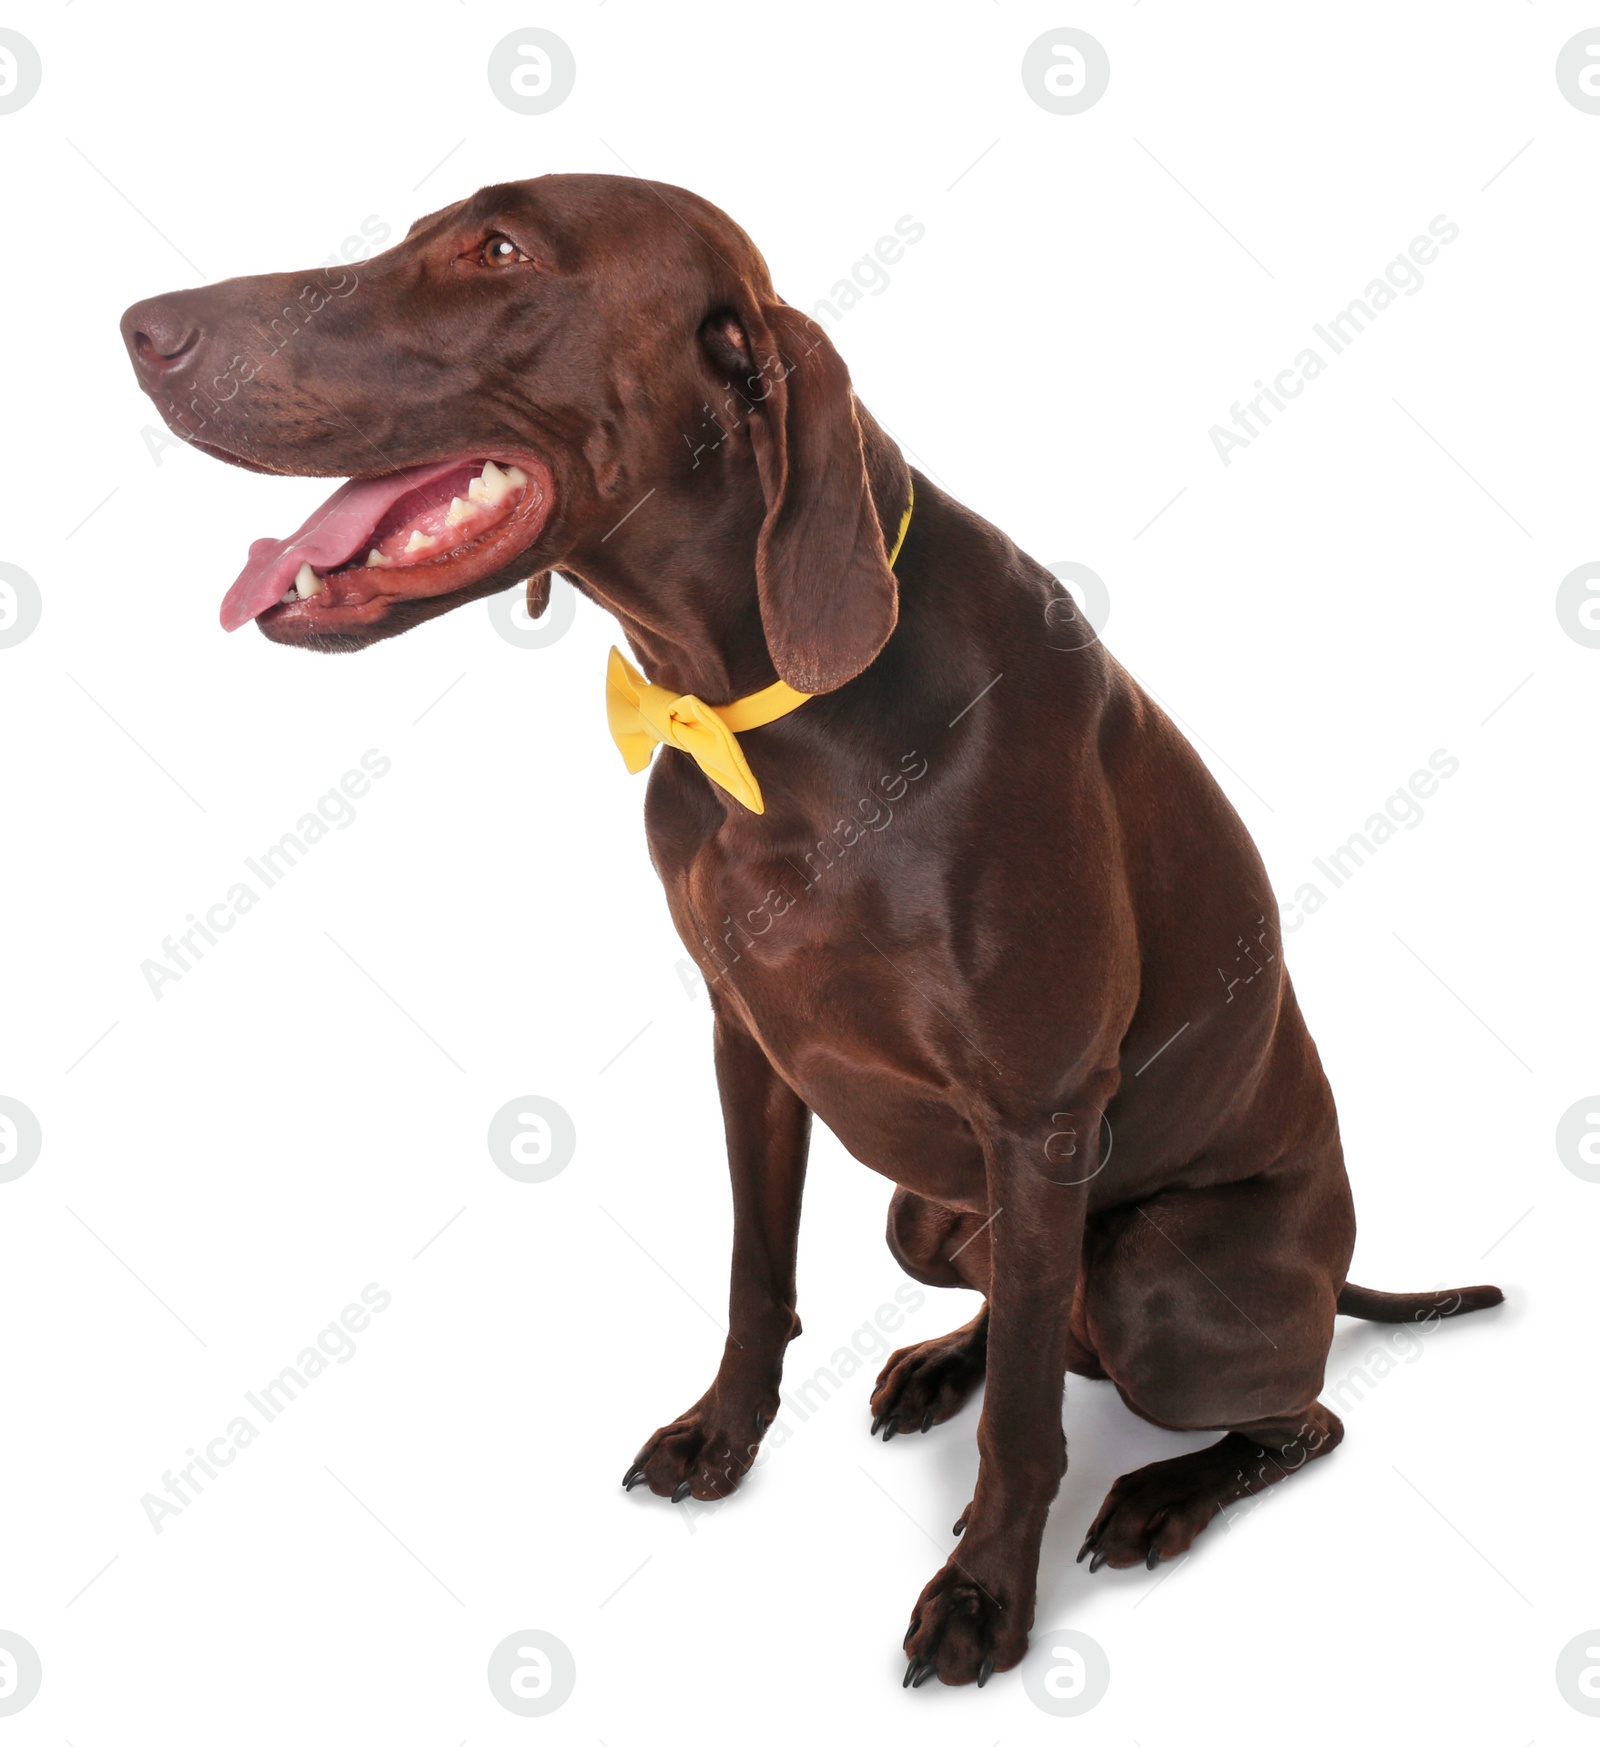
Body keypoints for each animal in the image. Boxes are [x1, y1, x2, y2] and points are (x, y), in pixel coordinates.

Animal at [122, 173, 1502, 1677]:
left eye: (498, 249)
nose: (140, 326)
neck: (756, 713)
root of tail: (1338, 1273)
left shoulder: (1041, 1115)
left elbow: (1027, 1426)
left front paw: (984, 1590)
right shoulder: (752, 1045)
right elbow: (757, 1270)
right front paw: (723, 1434)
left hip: (1164, 1276)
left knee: (1278, 1408)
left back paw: (1159, 1491)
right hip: (926, 1214)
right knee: (1035, 1317)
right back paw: (941, 1361)